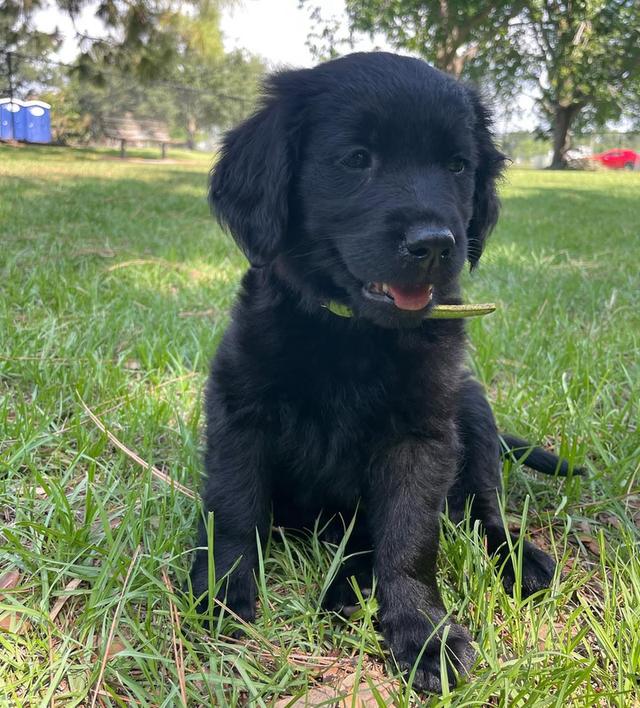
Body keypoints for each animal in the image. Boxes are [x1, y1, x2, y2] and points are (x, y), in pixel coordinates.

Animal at [190, 54, 564, 692]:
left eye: (457, 165)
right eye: (357, 158)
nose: (435, 244)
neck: (353, 333)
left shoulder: (422, 436)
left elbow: (410, 538)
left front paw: (424, 633)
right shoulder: (239, 407)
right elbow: (235, 507)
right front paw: (221, 590)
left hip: (471, 407)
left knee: (483, 510)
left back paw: (514, 559)